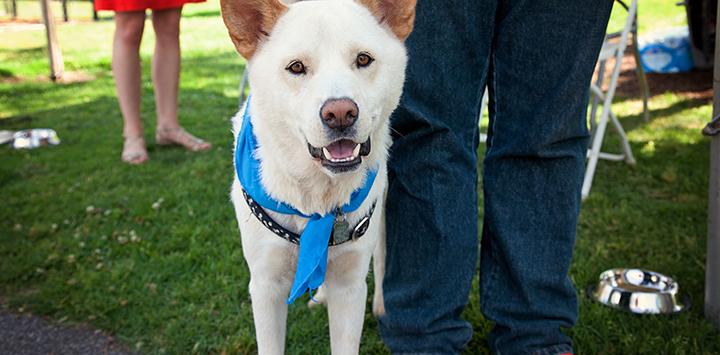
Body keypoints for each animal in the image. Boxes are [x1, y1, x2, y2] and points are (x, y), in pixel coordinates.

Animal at [222, 0, 420, 354]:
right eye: (296, 67)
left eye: (363, 59)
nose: (340, 114)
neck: (317, 200)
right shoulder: (265, 285)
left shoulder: (351, 287)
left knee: (382, 255)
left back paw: (381, 306)